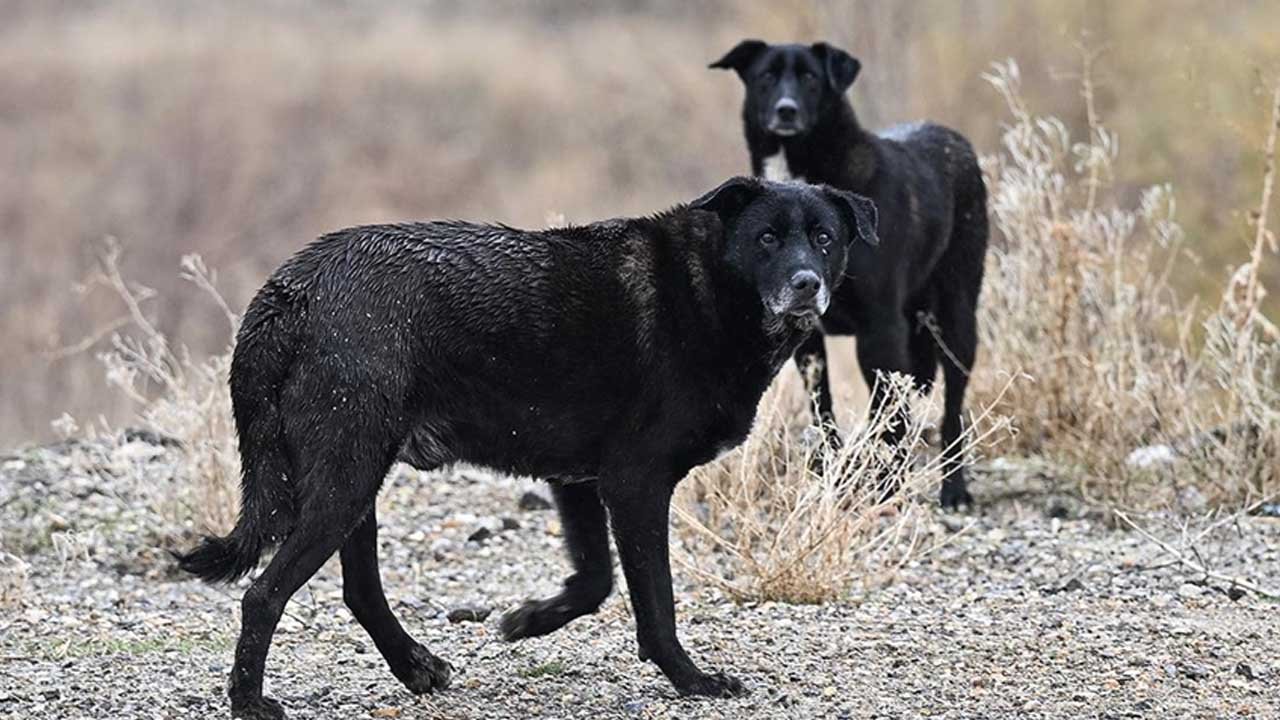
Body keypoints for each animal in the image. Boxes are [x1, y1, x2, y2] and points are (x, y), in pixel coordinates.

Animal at [175, 175, 880, 717]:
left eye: (824, 237)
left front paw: (530, 620)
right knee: (264, 595)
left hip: (354, 480)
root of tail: (289, 289)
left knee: (359, 591)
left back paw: (415, 668)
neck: (706, 289)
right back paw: (249, 701)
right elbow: (656, 602)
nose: (806, 284)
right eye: (767, 238)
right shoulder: (635, 483)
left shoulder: (580, 480)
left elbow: (595, 580)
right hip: (345, 478)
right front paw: (692, 680)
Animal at [711, 39, 988, 507]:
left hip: (956, 318)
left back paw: (954, 488)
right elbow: (823, 410)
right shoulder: (809, 340)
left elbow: (889, 415)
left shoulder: (880, 330)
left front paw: (889, 486)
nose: (786, 110)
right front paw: (832, 475)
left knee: (952, 407)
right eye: (766, 76)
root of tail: (954, 138)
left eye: (811, 78)